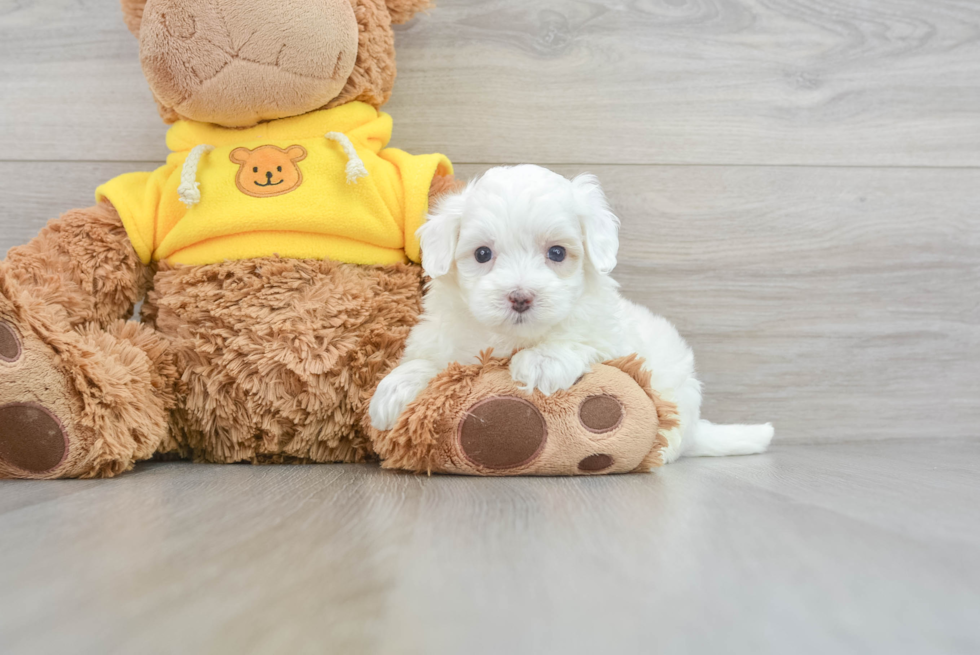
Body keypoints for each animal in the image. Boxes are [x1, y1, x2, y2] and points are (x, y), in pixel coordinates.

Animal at [370, 164, 772, 462]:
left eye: (557, 253)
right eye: (483, 254)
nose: (520, 297)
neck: (513, 338)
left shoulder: (612, 338)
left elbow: (578, 339)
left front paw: (541, 362)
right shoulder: (446, 339)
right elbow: (429, 361)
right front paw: (393, 390)